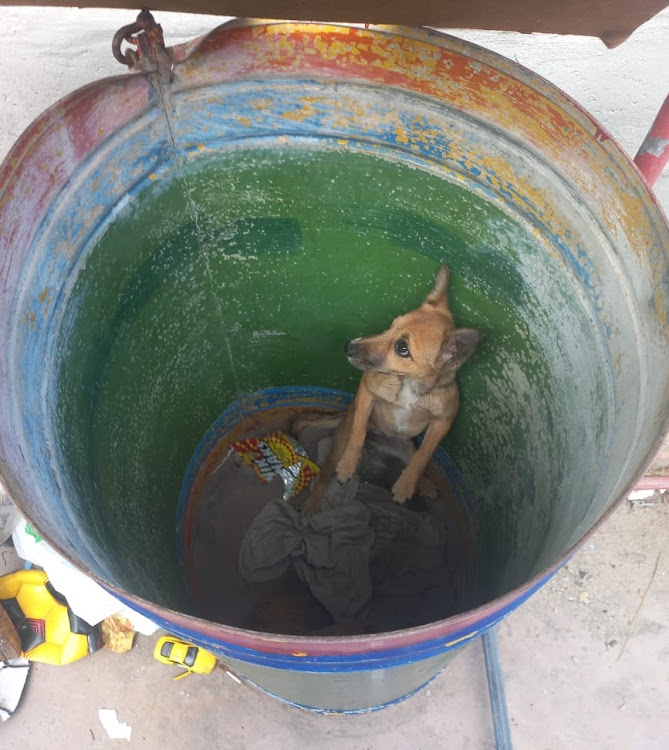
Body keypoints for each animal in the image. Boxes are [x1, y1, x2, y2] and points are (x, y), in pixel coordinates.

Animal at [300, 268, 478, 520]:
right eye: (391, 324)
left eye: (402, 348)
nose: (348, 346)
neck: (410, 386)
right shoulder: (366, 390)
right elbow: (358, 433)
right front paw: (347, 466)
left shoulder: (444, 421)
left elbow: (423, 455)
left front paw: (405, 486)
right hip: (338, 444)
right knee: (325, 473)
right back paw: (314, 501)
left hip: (406, 446)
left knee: (412, 458)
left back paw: (424, 484)